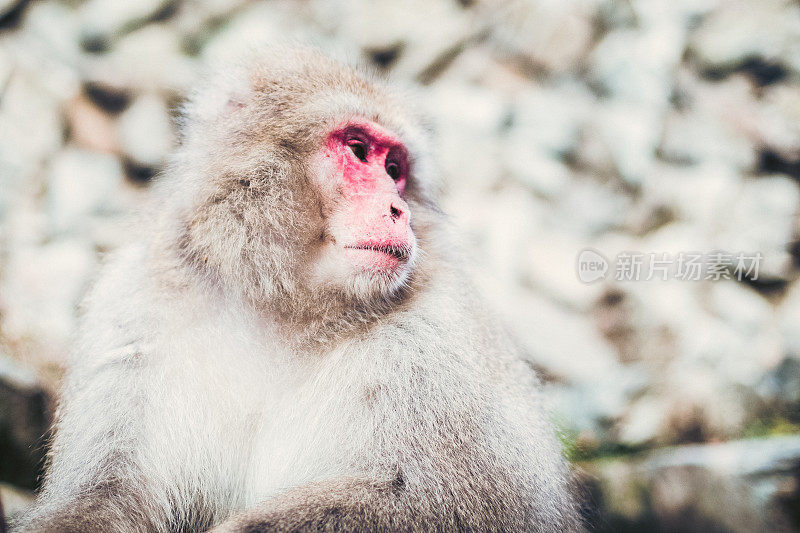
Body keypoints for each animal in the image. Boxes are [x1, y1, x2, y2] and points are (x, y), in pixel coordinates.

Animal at [17, 46, 580, 532]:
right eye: (359, 150)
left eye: (394, 170)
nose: (399, 210)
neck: (282, 308)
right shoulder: (131, 311)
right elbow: (103, 493)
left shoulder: (438, 338)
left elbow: (468, 500)